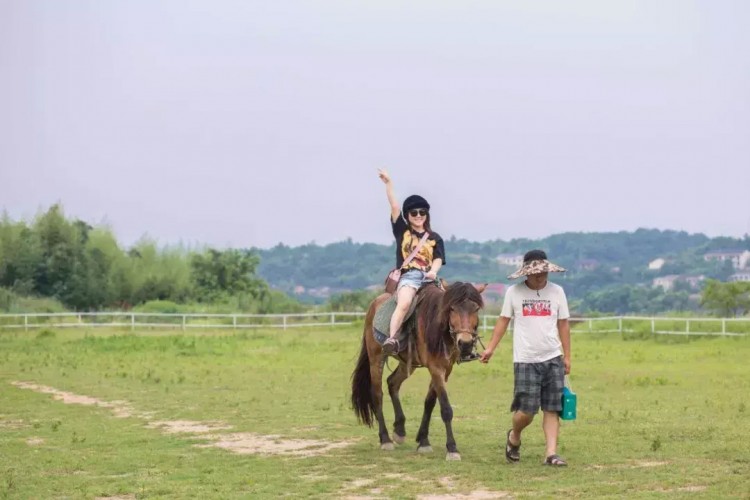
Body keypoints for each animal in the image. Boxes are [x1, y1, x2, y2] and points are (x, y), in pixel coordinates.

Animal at [352, 282, 488, 460]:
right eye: (452, 308)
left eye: (475, 309)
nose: (465, 343)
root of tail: (374, 304)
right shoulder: (435, 368)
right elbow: (446, 408)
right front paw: (452, 448)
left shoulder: (445, 369)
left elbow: (429, 402)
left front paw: (423, 441)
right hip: (376, 360)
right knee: (377, 395)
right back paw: (386, 439)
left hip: (407, 364)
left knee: (392, 383)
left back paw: (399, 430)